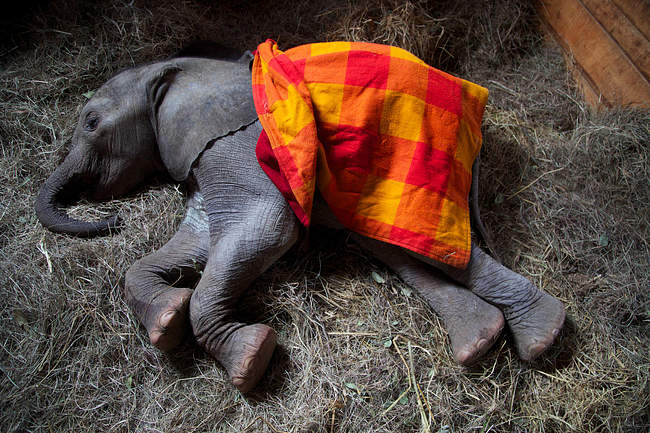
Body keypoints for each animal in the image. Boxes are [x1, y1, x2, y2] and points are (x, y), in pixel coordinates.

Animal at [35, 47, 566, 393]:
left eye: (91, 123)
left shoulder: (236, 141)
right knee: (390, 245)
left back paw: (543, 337)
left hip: (416, 161)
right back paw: (482, 341)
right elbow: (200, 239)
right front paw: (166, 321)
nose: (112, 221)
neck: (173, 71)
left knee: (425, 240)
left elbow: (270, 227)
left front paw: (251, 361)